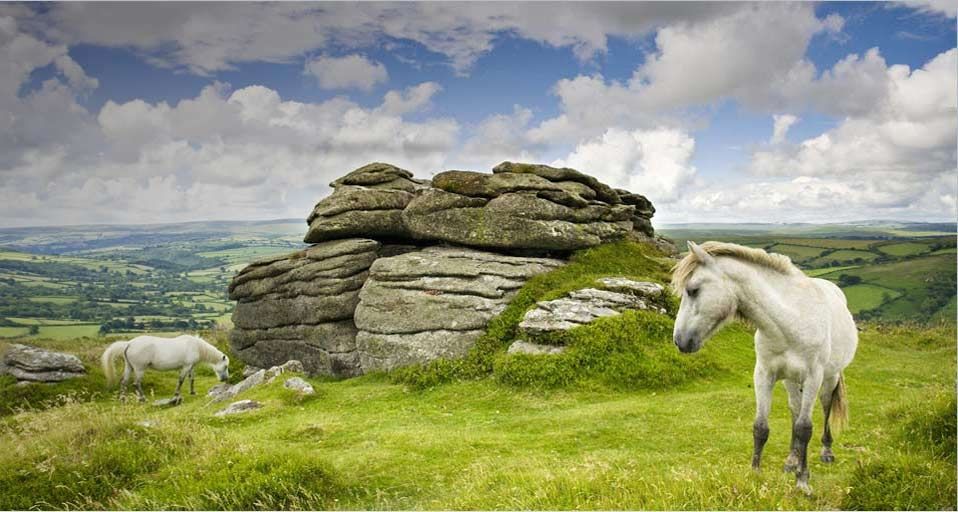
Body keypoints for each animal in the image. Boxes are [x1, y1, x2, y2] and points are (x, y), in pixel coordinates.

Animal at [101, 334, 230, 402]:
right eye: (225, 366)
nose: (225, 379)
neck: (196, 346)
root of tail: (129, 343)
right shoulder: (186, 367)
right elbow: (181, 380)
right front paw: (176, 394)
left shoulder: (191, 367)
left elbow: (191, 379)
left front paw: (192, 392)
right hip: (139, 369)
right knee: (136, 383)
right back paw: (143, 398)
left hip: (129, 367)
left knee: (124, 382)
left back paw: (122, 398)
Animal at [671, 241, 857, 494]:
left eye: (693, 290)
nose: (679, 340)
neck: (790, 321)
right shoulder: (763, 375)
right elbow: (761, 427)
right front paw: (754, 474)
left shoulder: (813, 377)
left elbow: (805, 429)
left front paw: (803, 481)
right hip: (791, 380)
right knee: (794, 409)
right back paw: (791, 460)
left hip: (829, 378)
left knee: (825, 406)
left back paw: (826, 451)